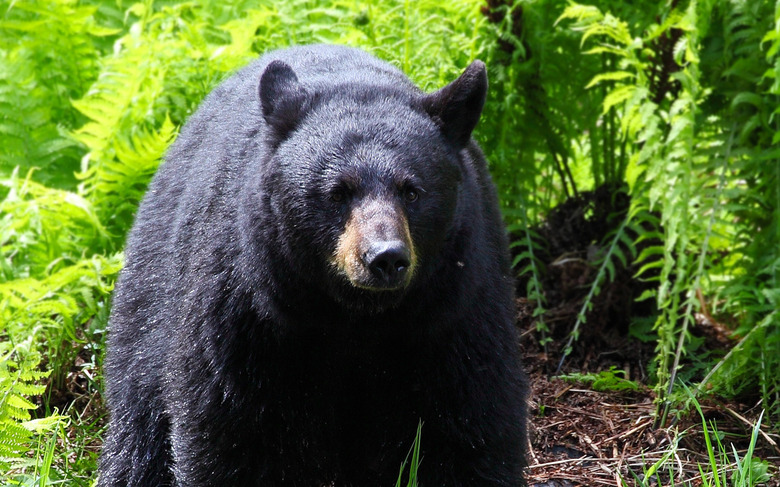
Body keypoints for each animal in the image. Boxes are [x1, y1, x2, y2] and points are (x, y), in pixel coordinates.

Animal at [97, 44, 528, 487]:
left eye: (412, 191)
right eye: (337, 192)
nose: (385, 257)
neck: (356, 317)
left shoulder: (452, 309)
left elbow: (468, 420)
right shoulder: (246, 313)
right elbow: (233, 429)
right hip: (152, 293)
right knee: (140, 418)